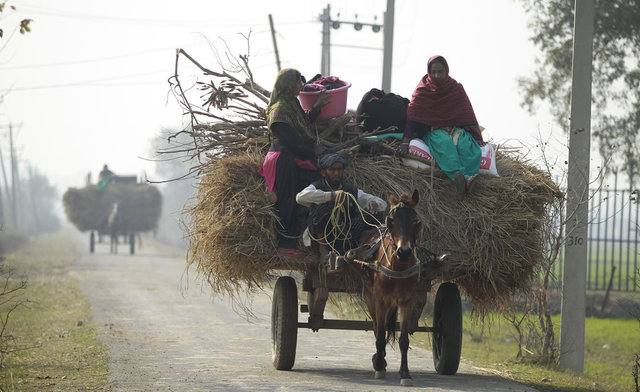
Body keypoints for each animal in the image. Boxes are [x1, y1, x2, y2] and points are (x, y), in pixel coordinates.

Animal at [362, 190, 422, 386]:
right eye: (391, 220)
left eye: (416, 221)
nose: (404, 252)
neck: (398, 266)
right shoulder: (380, 300)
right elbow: (380, 336)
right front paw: (380, 366)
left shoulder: (407, 301)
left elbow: (403, 340)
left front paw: (405, 373)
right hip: (372, 300)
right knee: (376, 328)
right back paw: (379, 359)